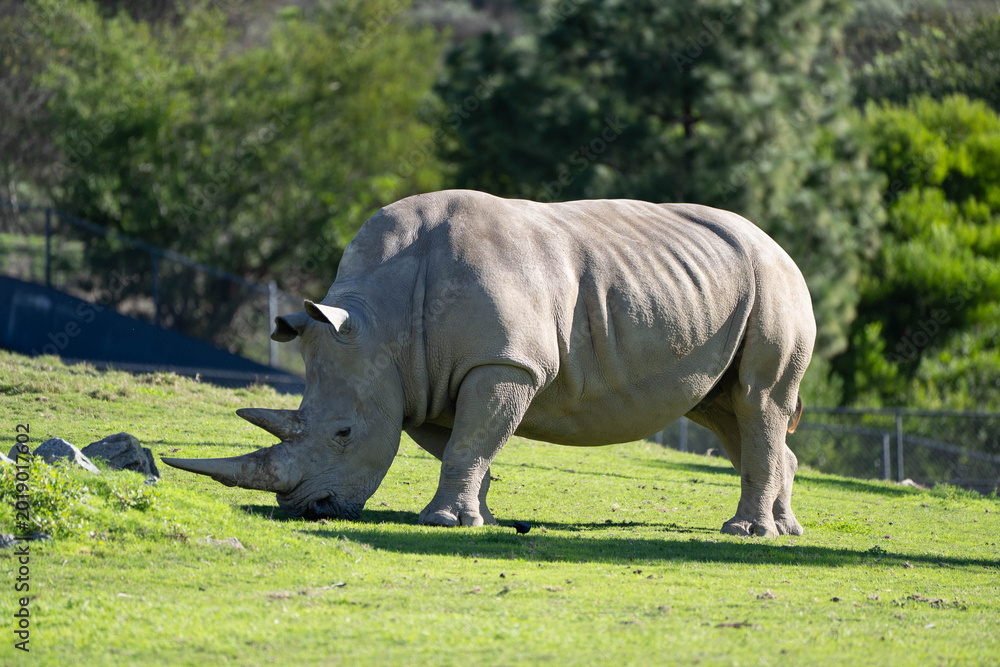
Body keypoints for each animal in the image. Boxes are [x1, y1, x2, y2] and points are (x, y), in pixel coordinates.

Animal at [163, 190, 815, 537]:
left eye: (344, 434)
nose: (310, 510)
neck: (382, 322)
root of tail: (780, 246)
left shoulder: (505, 363)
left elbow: (470, 442)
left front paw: (444, 524)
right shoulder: (422, 378)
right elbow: (465, 444)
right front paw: (482, 517)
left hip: (777, 282)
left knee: (757, 399)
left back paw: (748, 533)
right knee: (726, 409)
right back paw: (784, 529)